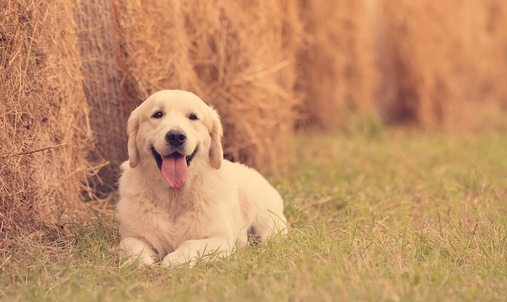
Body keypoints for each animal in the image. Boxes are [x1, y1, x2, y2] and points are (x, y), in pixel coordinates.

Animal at [116, 89, 288, 266]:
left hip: (269, 224)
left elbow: (189, 243)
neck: (174, 197)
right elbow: (136, 249)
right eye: (158, 114)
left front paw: (174, 260)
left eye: (193, 117)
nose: (176, 136)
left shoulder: (220, 239)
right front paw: (141, 263)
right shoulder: (131, 237)